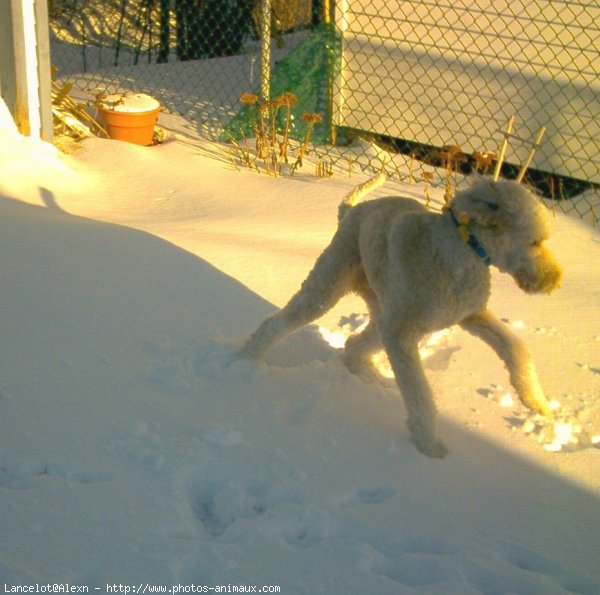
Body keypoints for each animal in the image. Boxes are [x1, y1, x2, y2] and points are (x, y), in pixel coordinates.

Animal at [240, 176, 564, 456]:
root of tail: (350, 212)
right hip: (330, 286)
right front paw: (429, 447)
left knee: (355, 346)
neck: (463, 252)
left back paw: (374, 378)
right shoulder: (401, 334)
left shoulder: (470, 315)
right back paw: (244, 362)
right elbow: (420, 396)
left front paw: (536, 403)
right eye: (535, 242)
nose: (555, 281)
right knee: (278, 324)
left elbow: (516, 348)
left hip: (381, 311)